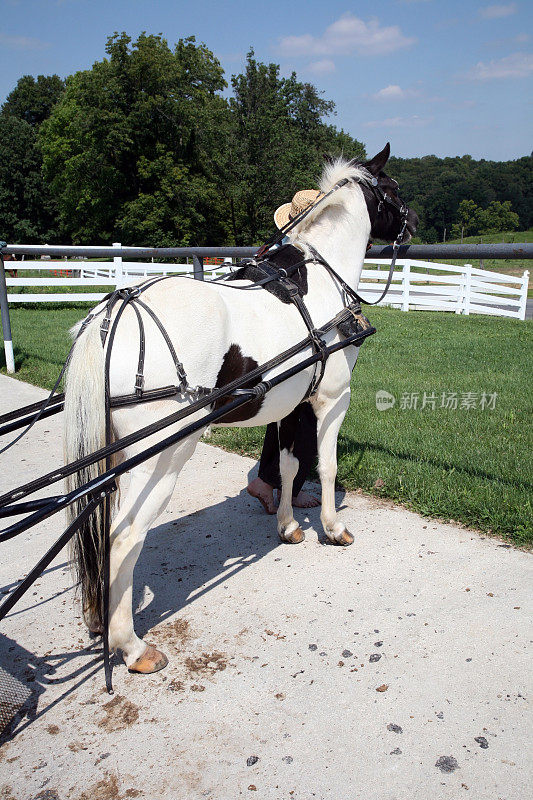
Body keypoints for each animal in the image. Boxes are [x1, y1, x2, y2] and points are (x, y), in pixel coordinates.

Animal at [64, 145, 418, 676]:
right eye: (392, 189)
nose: (414, 222)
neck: (320, 281)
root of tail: (111, 315)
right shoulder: (332, 399)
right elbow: (327, 466)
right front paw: (333, 528)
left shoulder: (293, 404)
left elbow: (289, 465)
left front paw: (289, 526)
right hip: (159, 458)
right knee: (123, 537)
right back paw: (130, 645)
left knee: (95, 526)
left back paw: (96, 615)